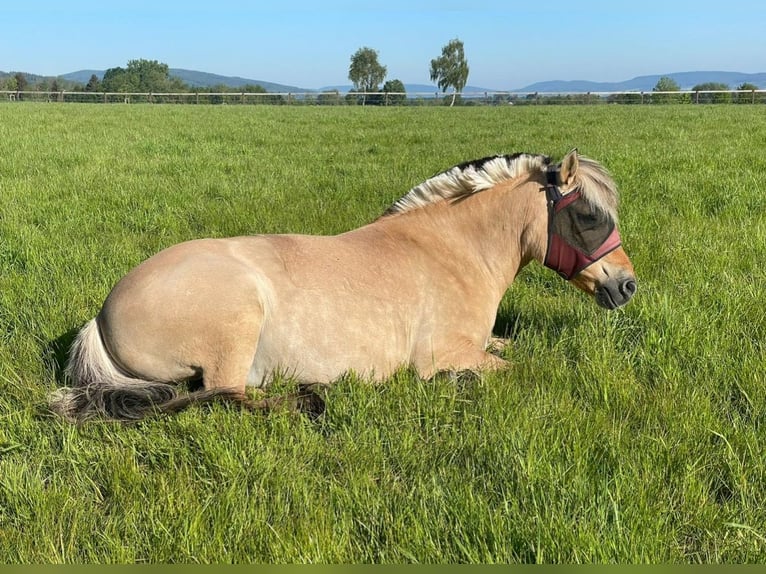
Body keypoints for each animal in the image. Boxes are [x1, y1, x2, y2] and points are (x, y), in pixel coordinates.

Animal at [46, 151, 636, 426]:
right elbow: (517, 369)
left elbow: (513, 347)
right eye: (588, 216)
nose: (627, 285)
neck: (450, 252)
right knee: (224, 397)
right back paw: (310, 397)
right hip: (237, 327)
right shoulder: (445, 357)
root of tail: (101, 317)